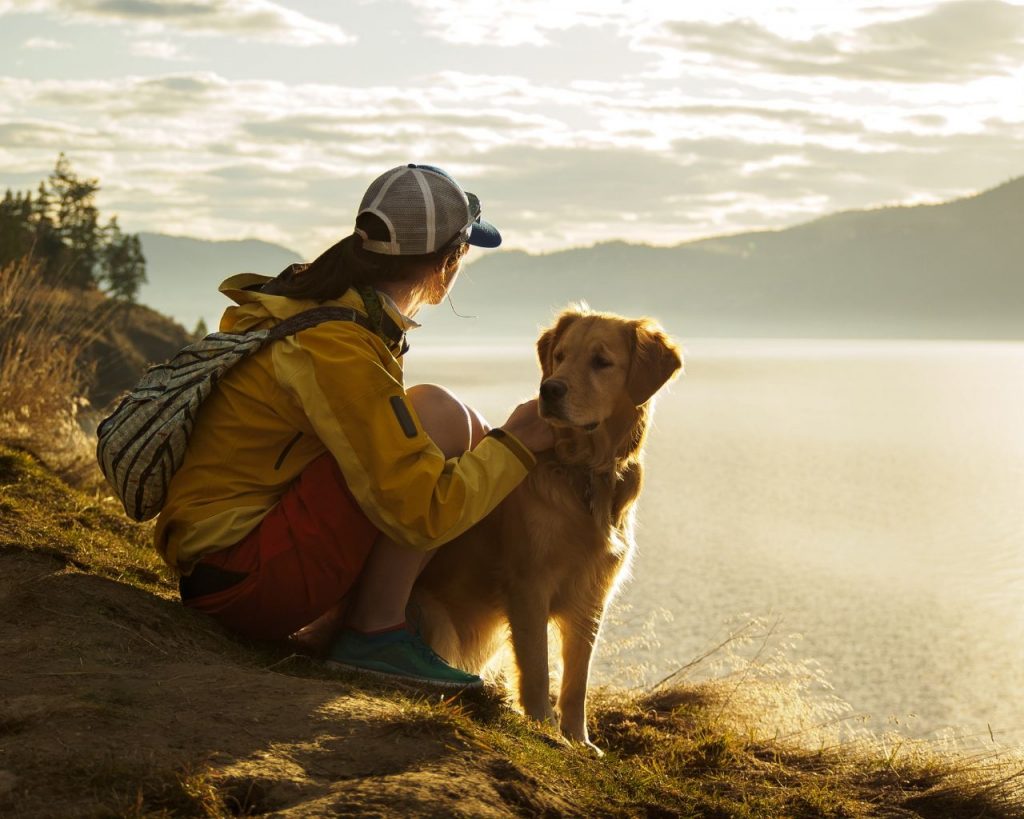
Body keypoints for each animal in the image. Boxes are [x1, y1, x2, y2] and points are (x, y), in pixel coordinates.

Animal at [411, 305, 684, 749]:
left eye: (601, 361)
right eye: (560, 356)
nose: (550, 390)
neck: (586, 472)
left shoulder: (591, 595)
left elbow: (577, 679)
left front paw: (579, 740)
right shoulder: (528, 584)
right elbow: (537, 666)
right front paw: (542, 727)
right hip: (437, 621)